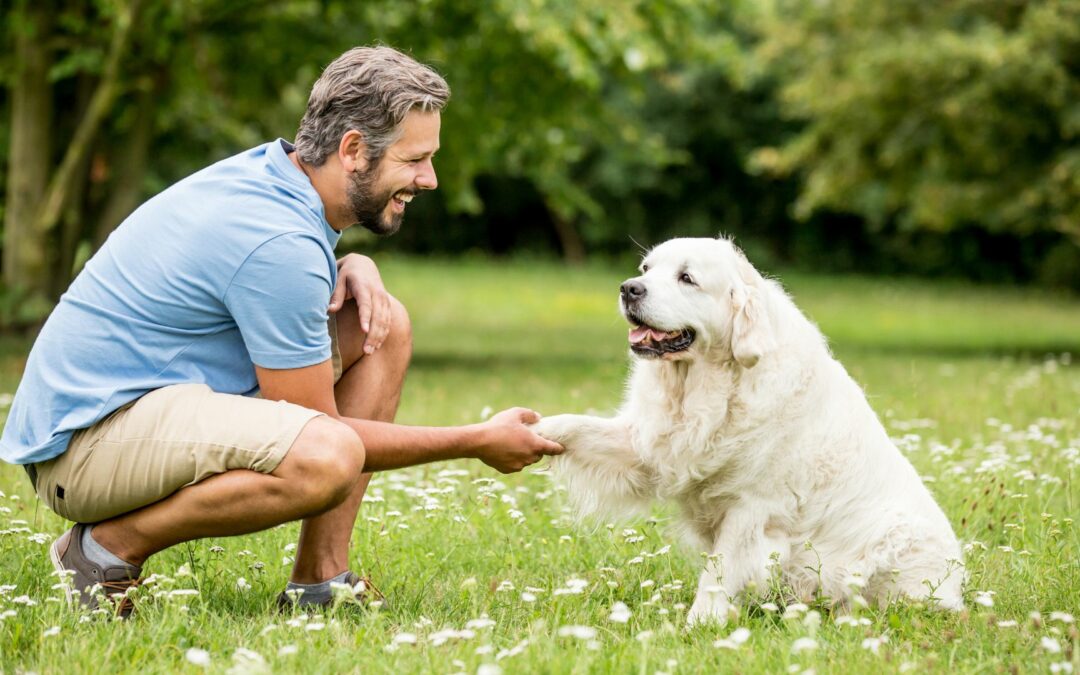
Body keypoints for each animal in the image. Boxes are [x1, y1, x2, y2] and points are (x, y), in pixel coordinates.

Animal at [535, 238, 967, 626]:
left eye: (687, 278)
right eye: (646, 269)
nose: (628, 288)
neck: (707, 387)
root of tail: (958, 588)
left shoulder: (752, 507)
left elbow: (719, 570)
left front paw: (699, 624)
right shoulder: (649, 447)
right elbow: (575, 425)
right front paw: (531, 429)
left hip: (891, 541)